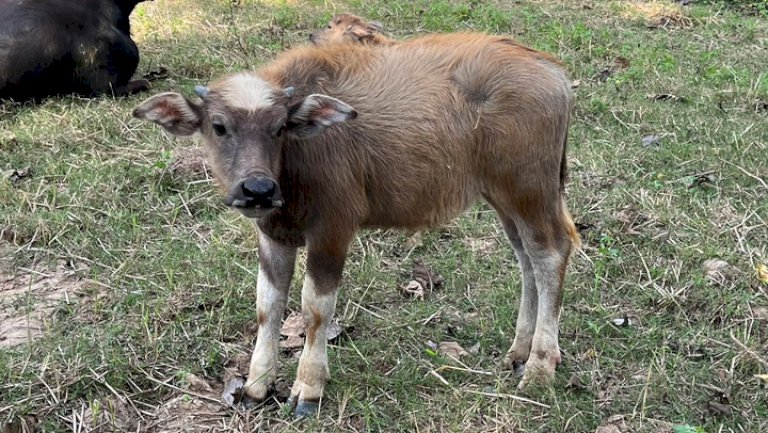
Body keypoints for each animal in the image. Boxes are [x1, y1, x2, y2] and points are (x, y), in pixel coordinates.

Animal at [134, 32, 576, 416]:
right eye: (219, 126)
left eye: (279, 127)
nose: (257, 189)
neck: (296, 164)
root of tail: (552, 72)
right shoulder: (273, 236)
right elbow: (267, 306)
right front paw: (257, 385)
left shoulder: (332, 230)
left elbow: (315, 309)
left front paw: (308, 388)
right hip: (504, 196)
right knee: (527, 260)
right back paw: (519, 352)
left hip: (529, 189)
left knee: (552, 253)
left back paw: (540, 366)